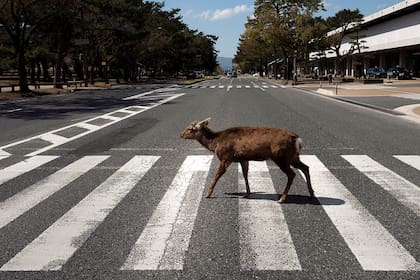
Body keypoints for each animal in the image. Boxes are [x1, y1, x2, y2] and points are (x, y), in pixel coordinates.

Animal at [179, 117, 314, 202]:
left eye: (191, 129)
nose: (181, 134)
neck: (215, 143)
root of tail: (297, 139)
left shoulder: (226, 157)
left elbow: (217, 175)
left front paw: (208, 194)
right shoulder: (243, 159)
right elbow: (245, 175)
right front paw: (247, 193)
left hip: (281, 156)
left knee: (292, 174)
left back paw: (282, 198)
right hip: (292, 156)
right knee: (306, 167)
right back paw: (311, 193)